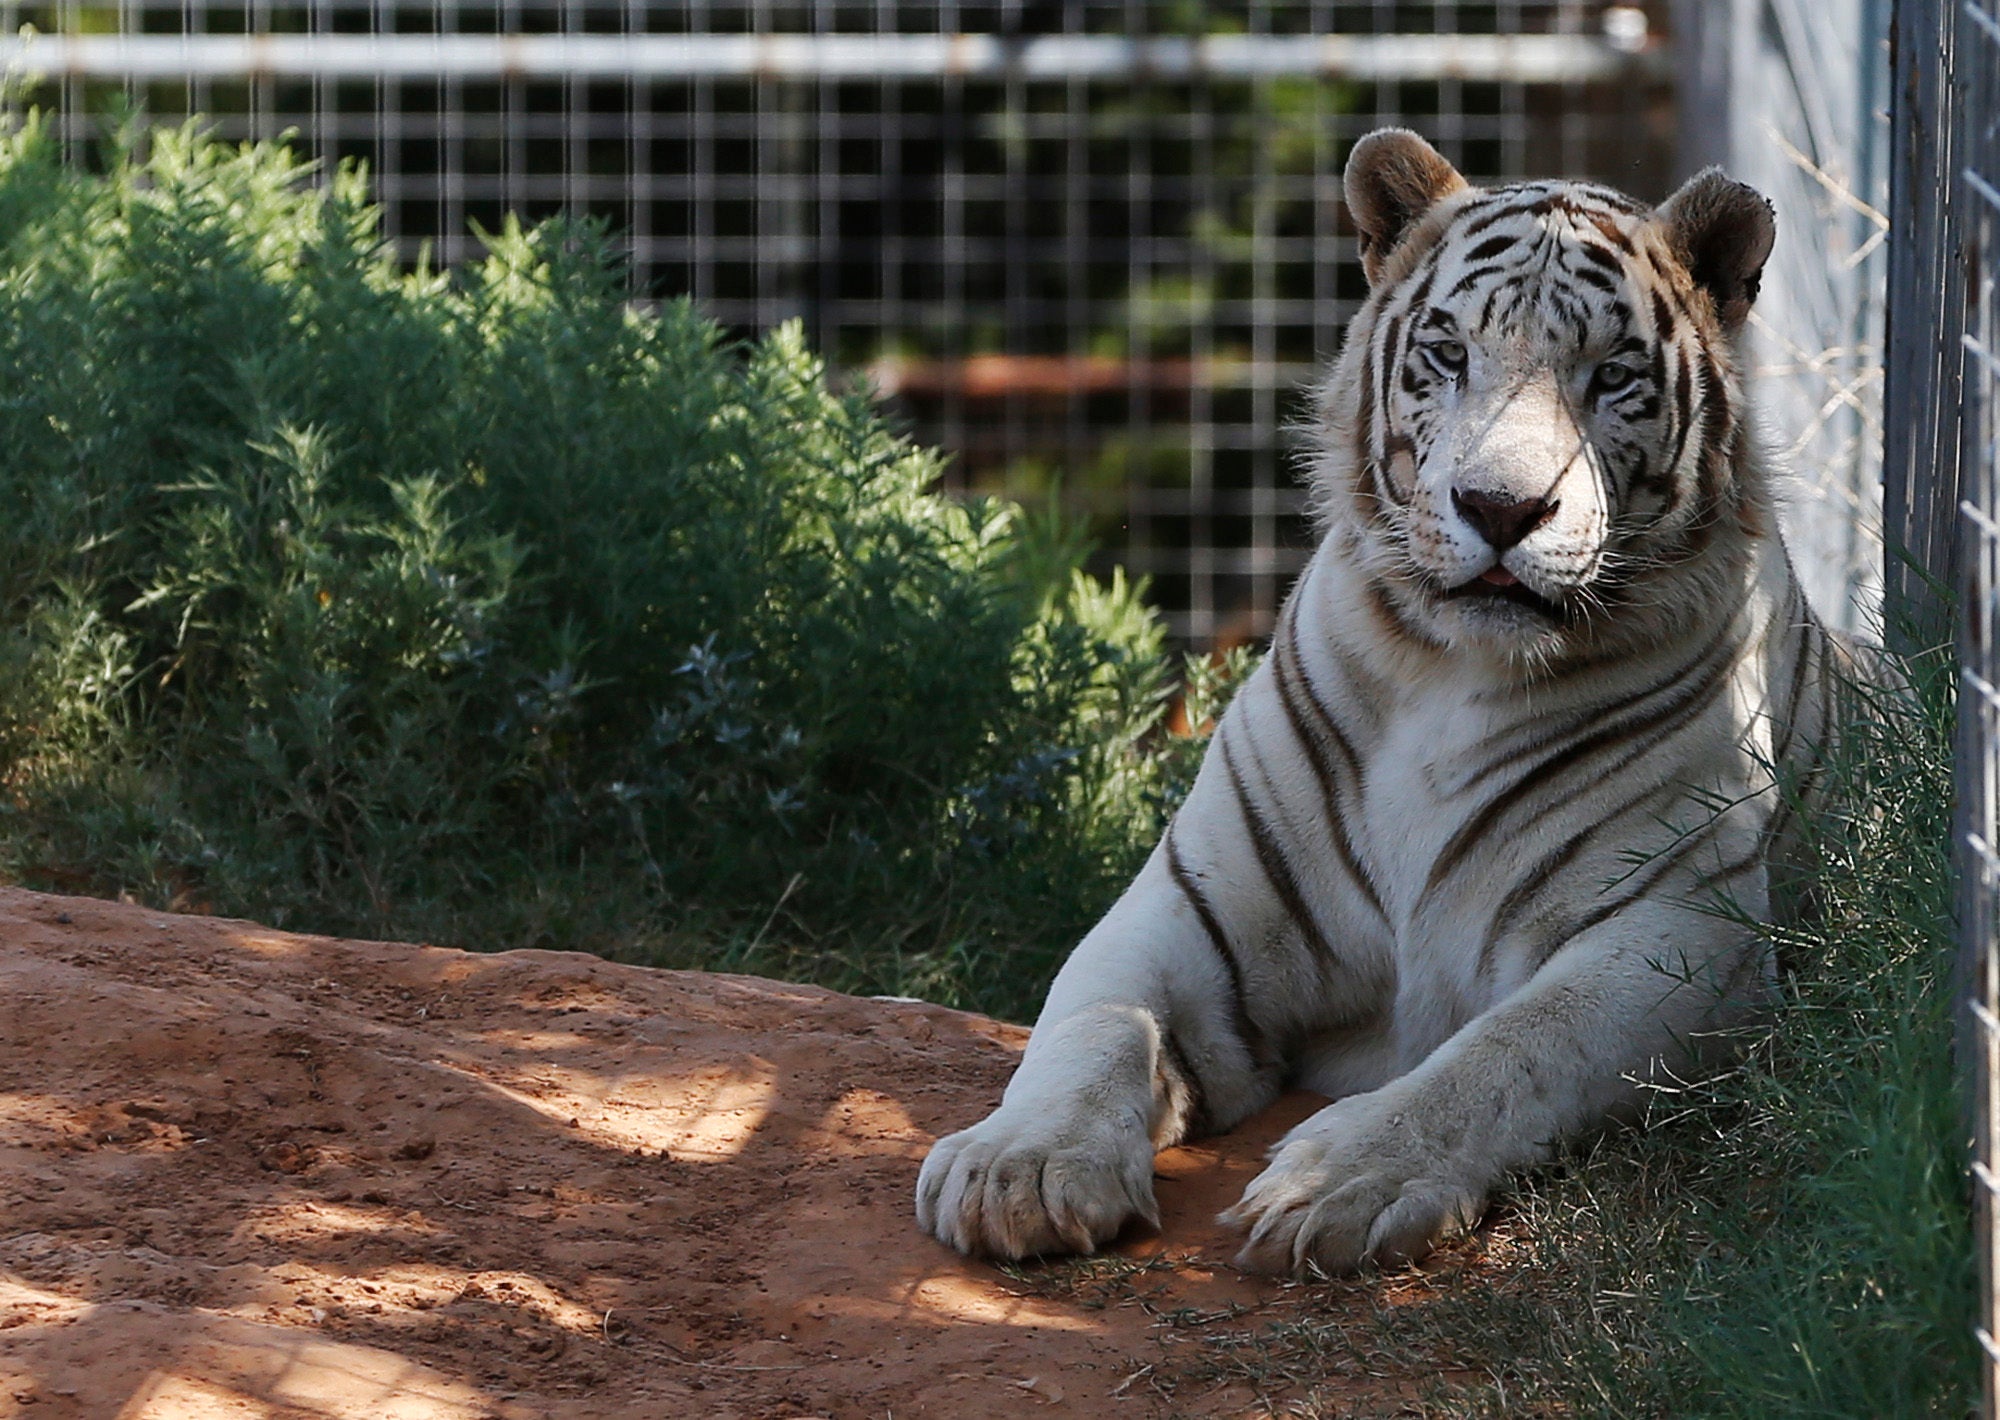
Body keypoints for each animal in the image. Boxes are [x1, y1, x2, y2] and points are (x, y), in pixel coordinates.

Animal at [916, 128, 1832, 1272]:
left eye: (1611, 376)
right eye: (1448, 355)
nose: (1499, 508)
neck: (1455, 675)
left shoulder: (1680, 929)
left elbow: (1501, 1054)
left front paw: (1338, 1181)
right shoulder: (1190, 903)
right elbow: (1090, 1022)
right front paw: (1021, 1167)